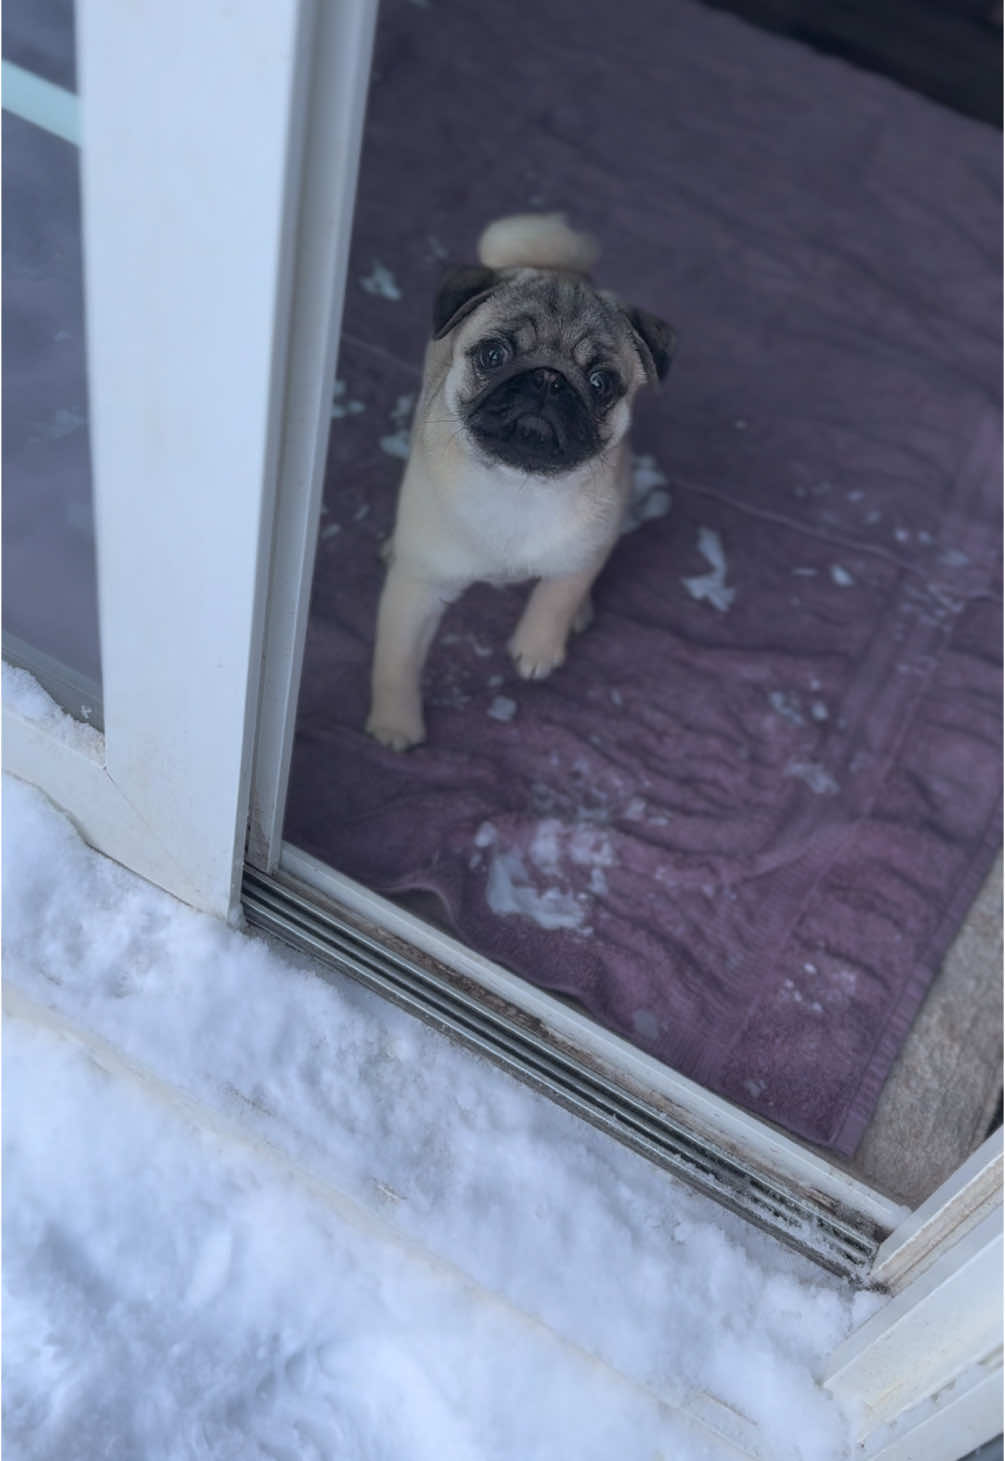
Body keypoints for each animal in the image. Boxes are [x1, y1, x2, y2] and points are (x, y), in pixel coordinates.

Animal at [365, 213, 671, 753]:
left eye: (601, 383)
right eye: (493, 354)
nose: (548, 379)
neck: (520, 485)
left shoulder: (585, 547)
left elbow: (558, 594)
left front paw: (538, 647)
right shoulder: (417, 592)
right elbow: (396, 660)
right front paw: (396, 724)